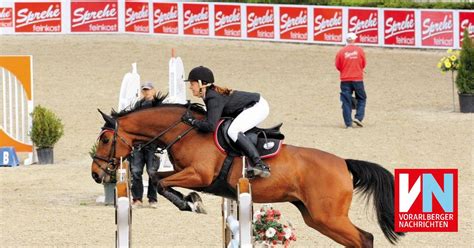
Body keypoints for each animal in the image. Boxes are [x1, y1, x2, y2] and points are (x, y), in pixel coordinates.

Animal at [91, 94, 404, 247]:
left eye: (105, 139)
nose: (96, 174)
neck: (186, 131)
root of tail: (343, 163)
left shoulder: (200, 175)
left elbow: (158, 180)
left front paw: (192, 203)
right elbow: (161, 181)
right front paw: (191, 201)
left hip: (328, 216)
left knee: (365, 238)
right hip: (316, 217)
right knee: (360, 240)